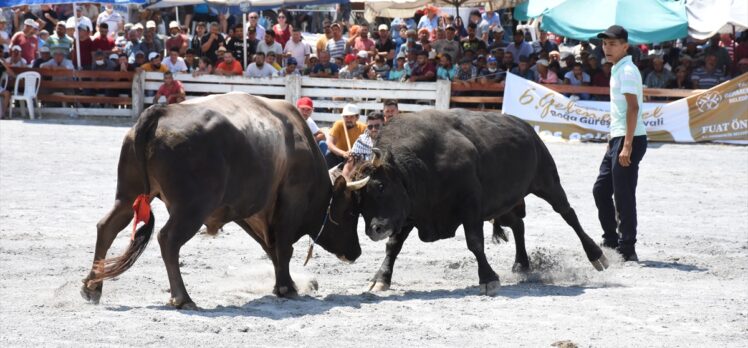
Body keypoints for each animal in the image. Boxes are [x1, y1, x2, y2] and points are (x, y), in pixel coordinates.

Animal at [79, 94, 366, 308]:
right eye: (351, 213)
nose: (356, 252)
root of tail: (161, 112)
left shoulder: (252, 212)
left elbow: (271, 249)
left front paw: (282, 284)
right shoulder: (289, 204)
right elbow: (284, 248)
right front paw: (287, 287)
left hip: (128, 195)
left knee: (107, 227)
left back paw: (93, 286)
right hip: (191, 209)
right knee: (168, 239)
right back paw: (182, 297)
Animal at [350, 109, 608, 294]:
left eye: (381, 186)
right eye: (358, 201)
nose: (374, 229)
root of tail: (526, 127)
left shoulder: (470, 206)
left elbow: (475, 243)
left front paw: (488, 278)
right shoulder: (408, 213)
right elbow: (393, 246)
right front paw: (380, 279)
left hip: (547, 181)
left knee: (568, 214)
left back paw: (596, 255)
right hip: (504, 202)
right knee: (518, 225)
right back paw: (521, 264)